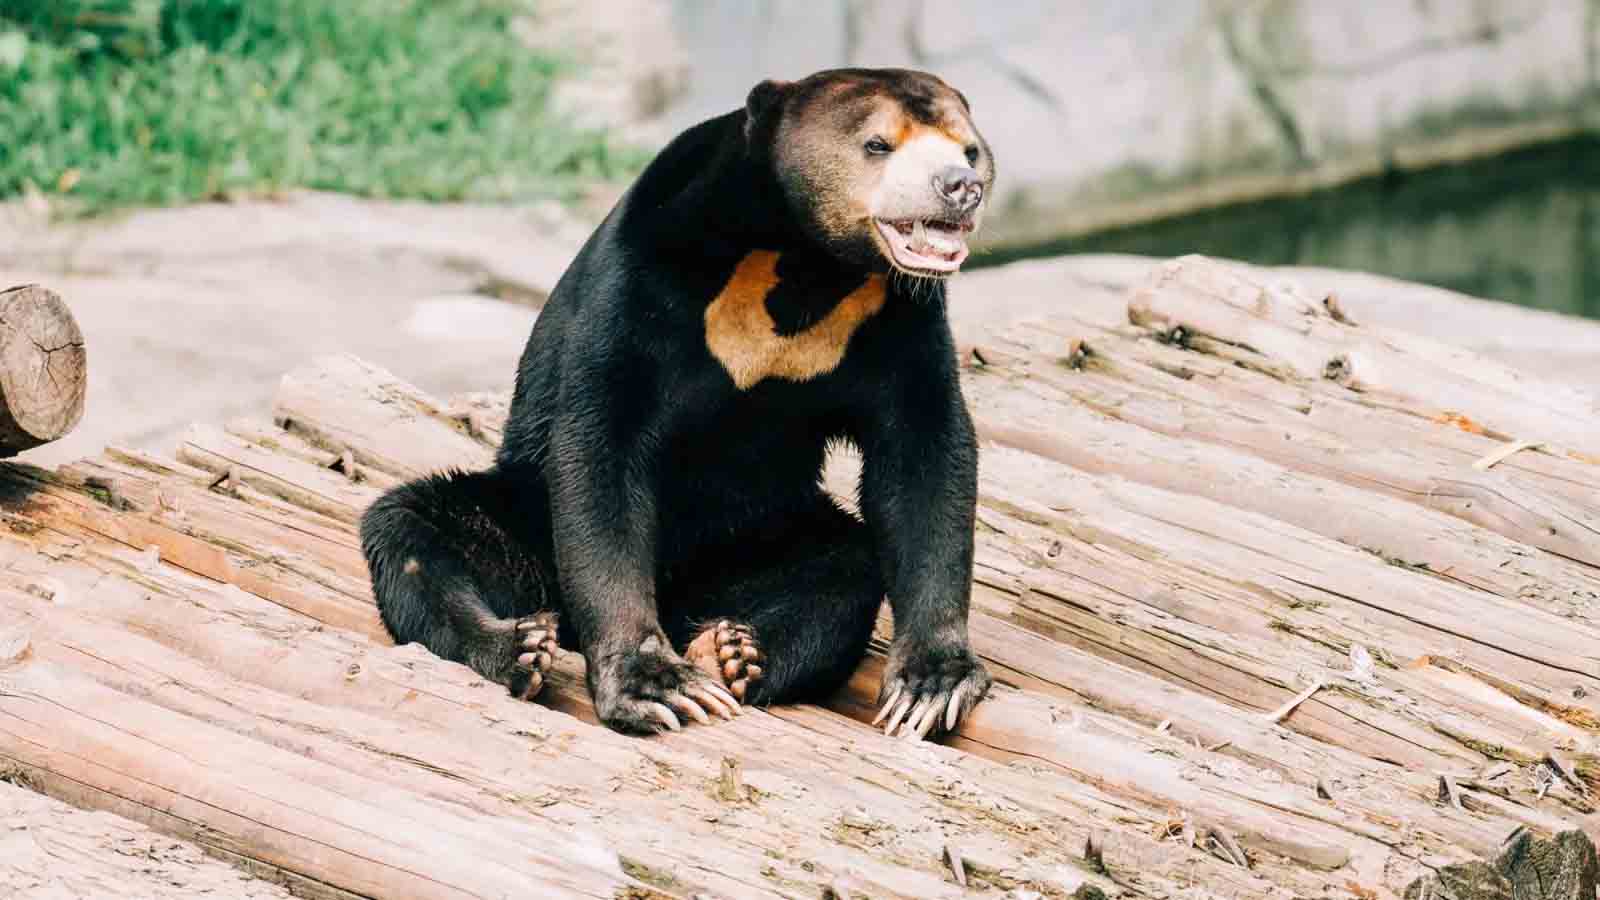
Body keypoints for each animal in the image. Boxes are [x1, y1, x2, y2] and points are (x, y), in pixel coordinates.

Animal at [360, 67, 996, 739]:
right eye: (878, 144)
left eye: (969, 149)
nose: (960, 188)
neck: (803, 257)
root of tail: (680, 594)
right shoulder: (647, 270)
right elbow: (602, 438)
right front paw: (655, 684)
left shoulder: (896, 313)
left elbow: (922, 456)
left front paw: (931, 685)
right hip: (527, 522)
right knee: (414, 529)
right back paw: (520, 647)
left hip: (757, 537)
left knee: (841, 566)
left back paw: (733, 651)